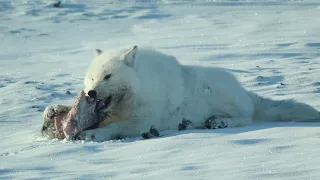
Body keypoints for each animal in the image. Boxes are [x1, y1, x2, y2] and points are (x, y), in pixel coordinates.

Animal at [74, 45, 318, 142]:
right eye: (92, 78)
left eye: (108, 77)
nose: (91, 93)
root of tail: (245, 92)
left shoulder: (142, 120)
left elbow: (115, 129)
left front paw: (93, 135)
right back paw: (189, 124)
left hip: (219, 93)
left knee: (246, 118)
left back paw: (220, 122)